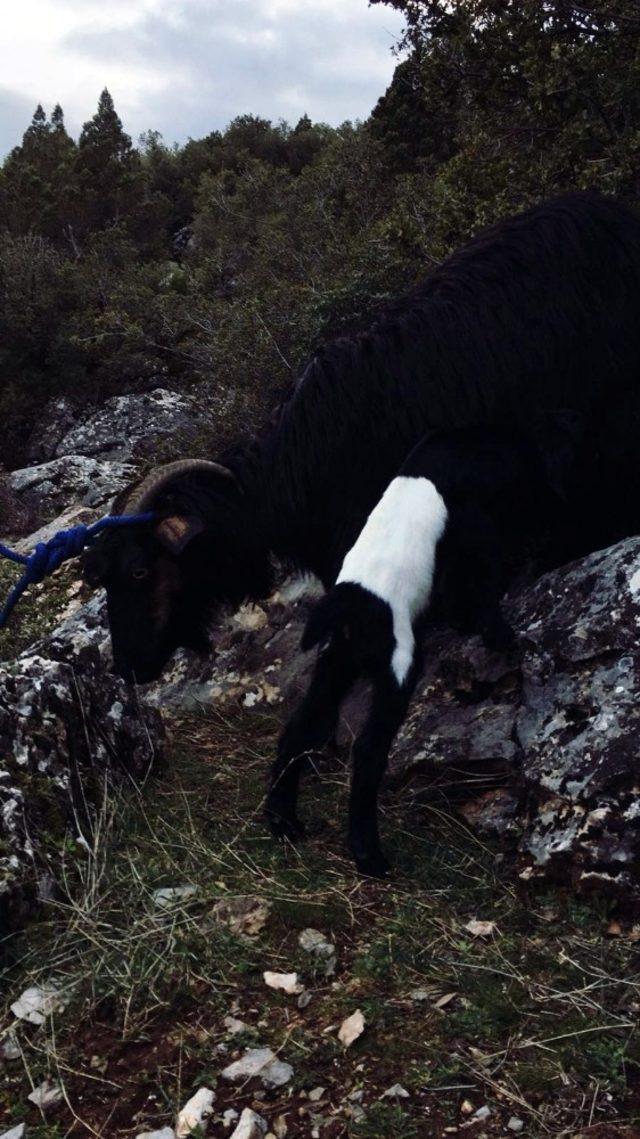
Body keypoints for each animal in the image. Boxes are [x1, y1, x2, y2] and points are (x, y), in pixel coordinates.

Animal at [264, 423, 573, 874]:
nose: (557, 505)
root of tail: (349, 605)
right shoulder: (474, 527)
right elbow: (481, 582)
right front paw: (497, 633)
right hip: (397, 663)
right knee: (368, 749)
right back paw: (369, 855)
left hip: (335, 663)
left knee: (299, 729)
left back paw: (282, 820)